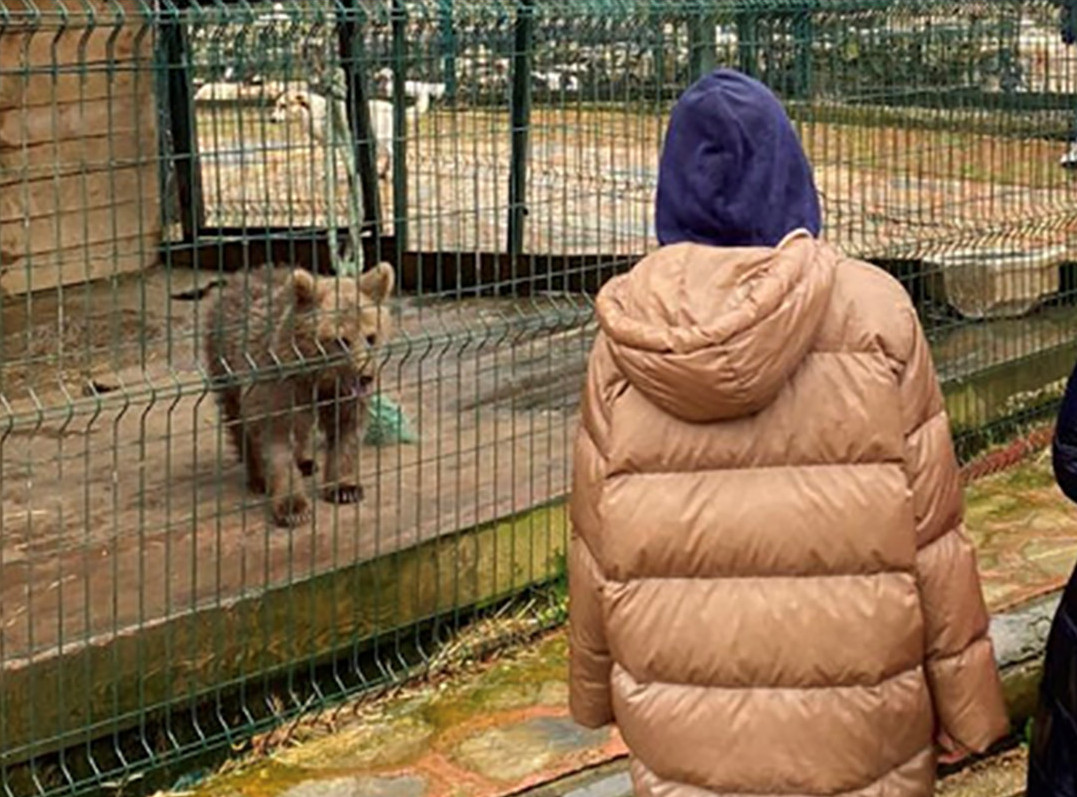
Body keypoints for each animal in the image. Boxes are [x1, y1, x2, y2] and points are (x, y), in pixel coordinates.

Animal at [202, 261, 396, 525]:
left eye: (371, 337)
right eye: (341, 340)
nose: (365, 376)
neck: (318, 376)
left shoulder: (341, 396)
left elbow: (346, 431)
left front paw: (345, 488)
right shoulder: (276, 386)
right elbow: (277, 440)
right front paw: (293, 507)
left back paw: (305, 461)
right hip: (226, 363)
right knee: (238, 419)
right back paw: (257, 476)